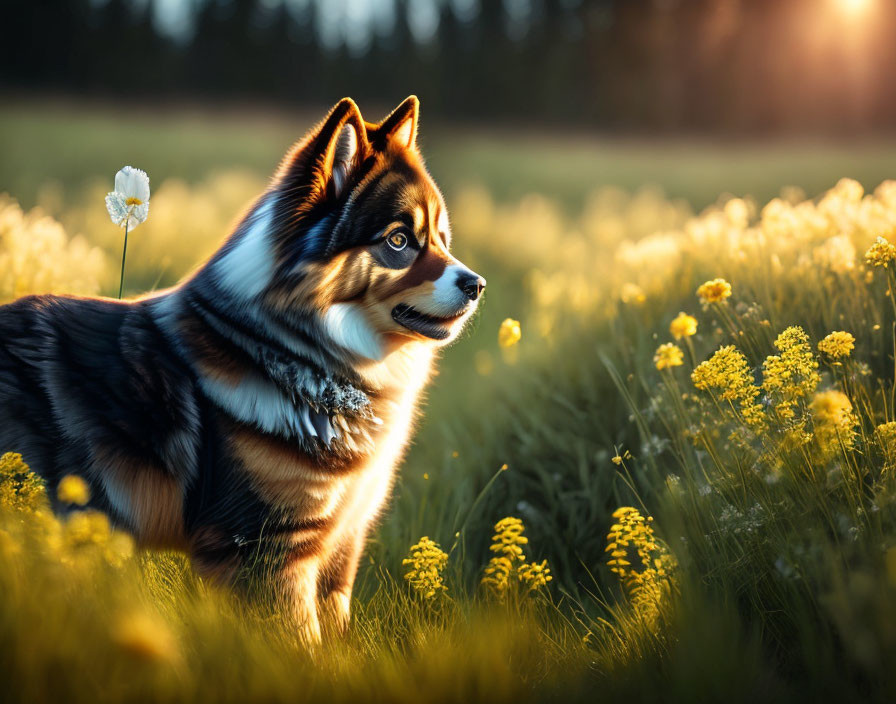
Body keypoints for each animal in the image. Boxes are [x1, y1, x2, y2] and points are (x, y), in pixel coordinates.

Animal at [0, 96, 484, 640]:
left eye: (441, 238)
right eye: (399, 241)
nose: (477, 285)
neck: (296, 354)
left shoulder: (341, 545)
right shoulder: (267, 549)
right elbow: (302, 644)